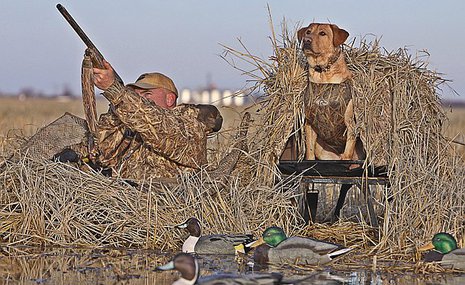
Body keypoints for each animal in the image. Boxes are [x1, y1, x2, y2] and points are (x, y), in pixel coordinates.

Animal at [296, 23, 360, 161]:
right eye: (308, 32)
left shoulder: (350, 123)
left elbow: (348, 150)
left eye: (322, 33)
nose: (306, 40)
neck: (322, 73)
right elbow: (309, 151)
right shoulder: (310, 123)